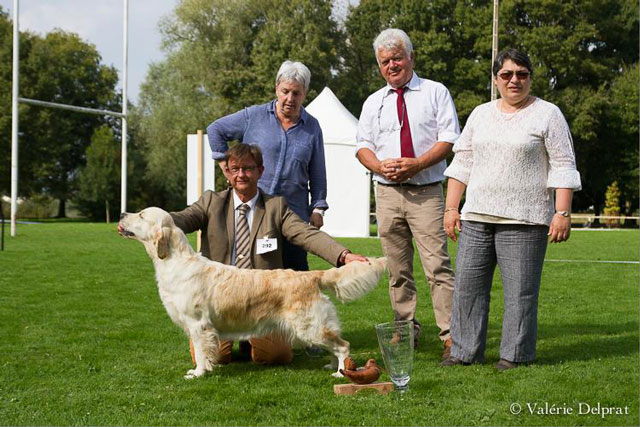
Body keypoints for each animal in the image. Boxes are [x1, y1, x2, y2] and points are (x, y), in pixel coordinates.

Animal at [116, 209, 384, 380]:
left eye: (141, 215)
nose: (121, 214)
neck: (174, 262)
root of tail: (312, 276)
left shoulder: (198, 324)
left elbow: (201, 353)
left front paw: (198, 373)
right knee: (335, 346)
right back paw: (332, 365)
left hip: (309, 326)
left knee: (343, 345)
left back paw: (340, 372)